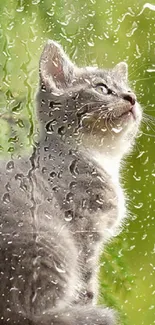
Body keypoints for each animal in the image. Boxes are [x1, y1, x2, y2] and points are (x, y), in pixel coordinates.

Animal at [0, 41, 142, 324]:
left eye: (129, 90)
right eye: (102, 88)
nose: (131, 98)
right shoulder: (83, 227)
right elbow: (87, 284)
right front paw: (88, 305)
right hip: (51, 241)